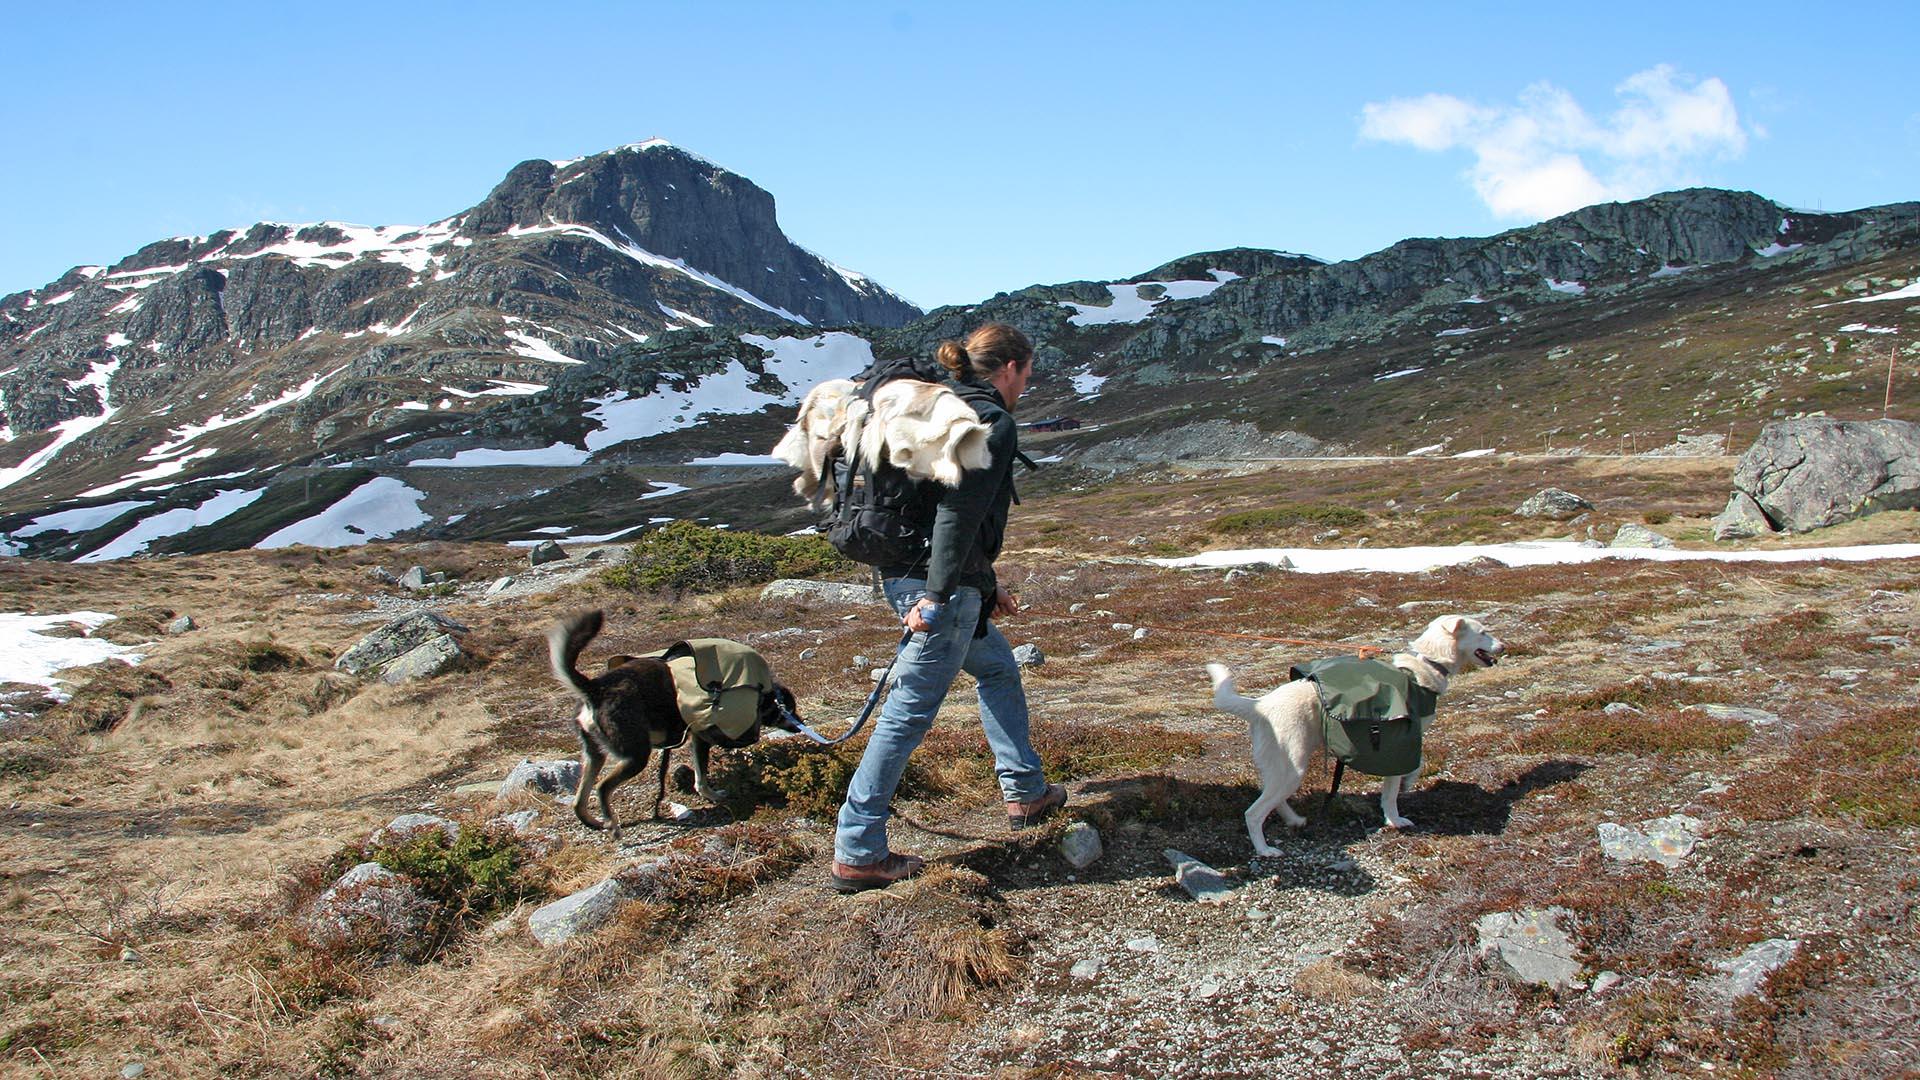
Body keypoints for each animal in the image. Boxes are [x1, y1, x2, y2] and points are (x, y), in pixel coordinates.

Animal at [1205, 614, 1505, 849]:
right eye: (1483, 631)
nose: (1504, 646)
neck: (1427, 664)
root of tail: (1259, 705)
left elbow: (1410, 772)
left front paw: (1406, 788)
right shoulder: (1402, 744)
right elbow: (1395, 789)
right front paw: (1396, 819)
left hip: (1281, 769)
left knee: (1274, 801)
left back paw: (1294, 820)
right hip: (1292, 770)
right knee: (1253, 813)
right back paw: (1265, 850)